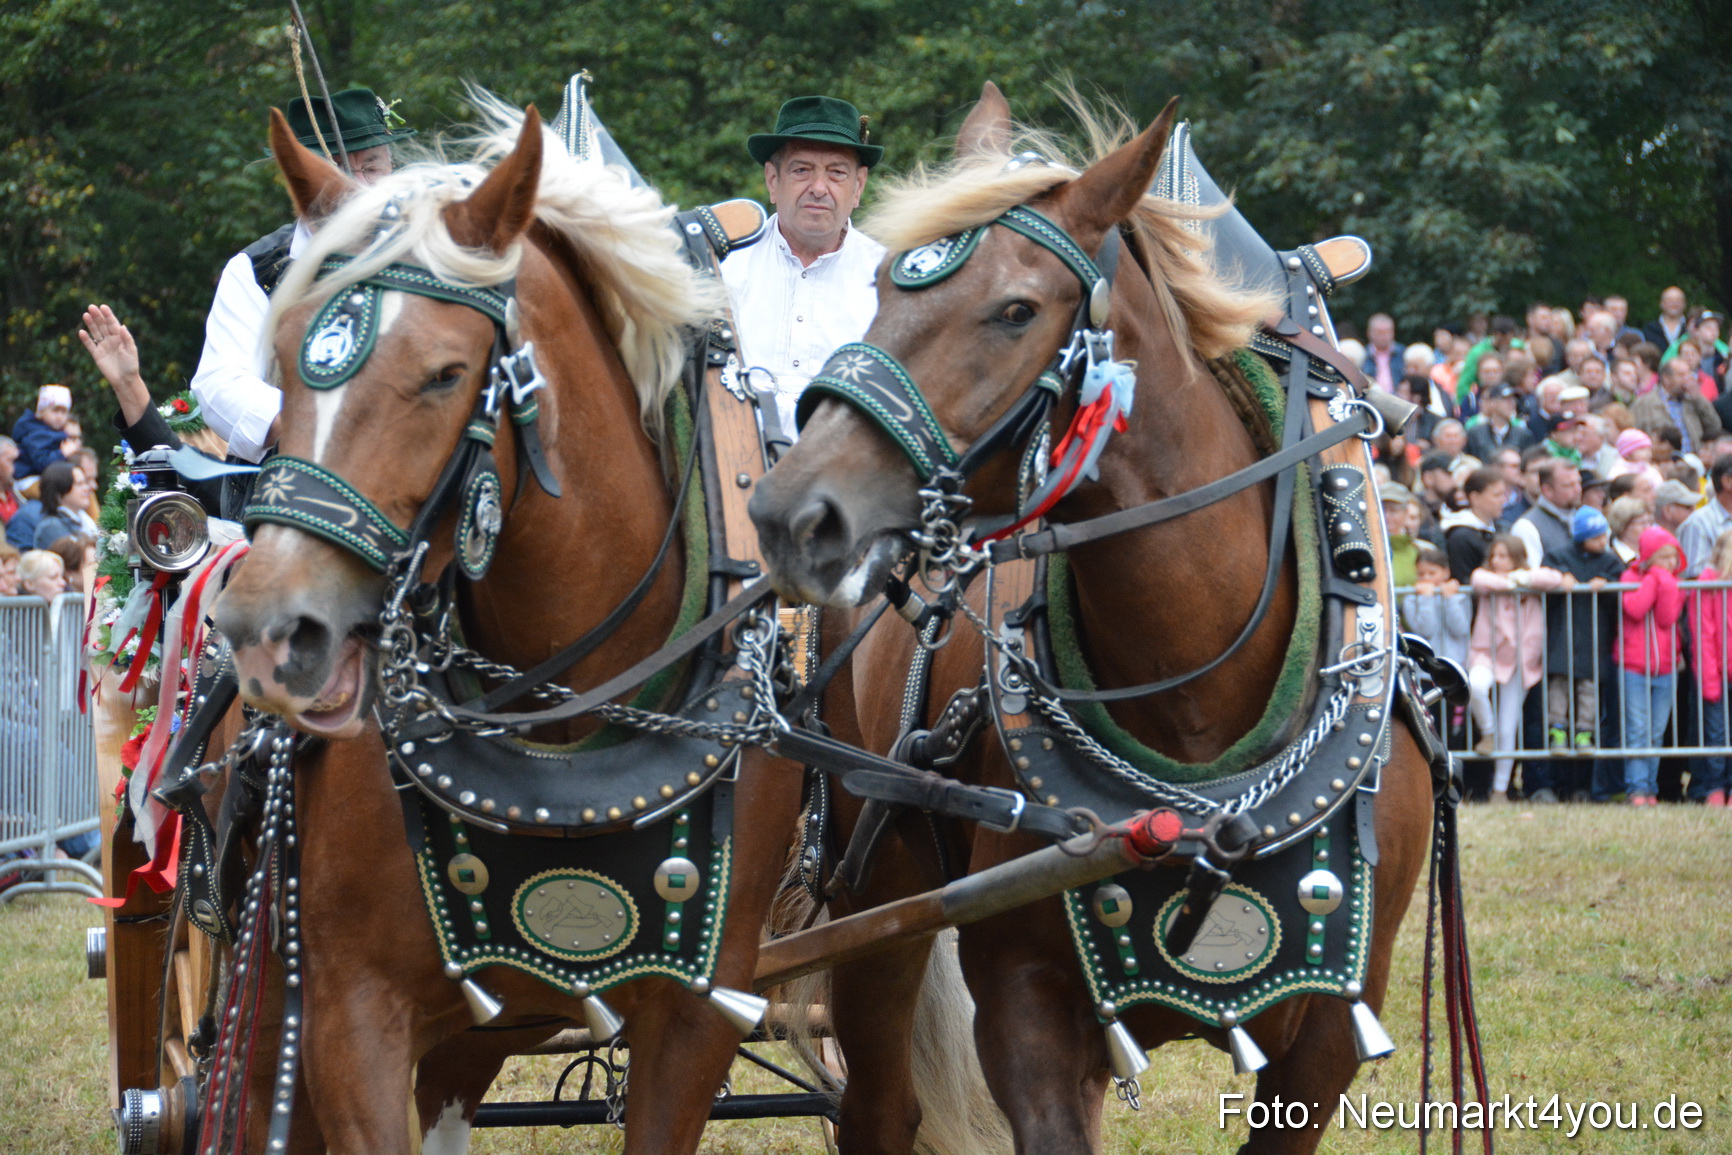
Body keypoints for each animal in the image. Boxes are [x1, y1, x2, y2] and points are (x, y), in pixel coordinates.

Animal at [206, 97, 811, 1154]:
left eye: (447, 374)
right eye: (279, 365)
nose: (271, 632)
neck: (562, 722)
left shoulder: (698, 1015)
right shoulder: (346, 1014)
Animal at [750, 83, 1436, 1154]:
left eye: (1015, 310)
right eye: (881, 296)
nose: (792, 511)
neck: (1198, 734)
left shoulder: (1331, 1023)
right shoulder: (1026, 1005)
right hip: (876, 891)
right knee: (878, 1105)